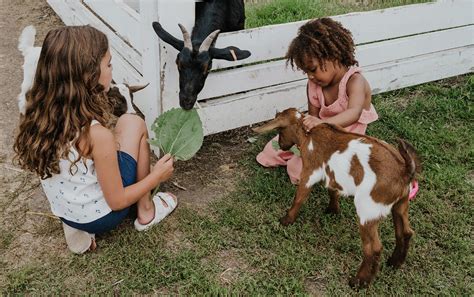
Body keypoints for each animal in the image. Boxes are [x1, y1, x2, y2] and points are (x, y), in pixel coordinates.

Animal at [254, 107, 420, 288]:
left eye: (279, 130)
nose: (281, 145)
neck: (307, 134)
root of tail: (404, 171)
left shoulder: (309, 172)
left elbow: (299, 198)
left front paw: (286, 220)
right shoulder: (332, 175)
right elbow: (332, 191)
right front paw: (332, 210)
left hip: (368, 210)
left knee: (373, 248)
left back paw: (359, 282)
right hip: (401, 203)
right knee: (405, 232)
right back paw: (395, 263)